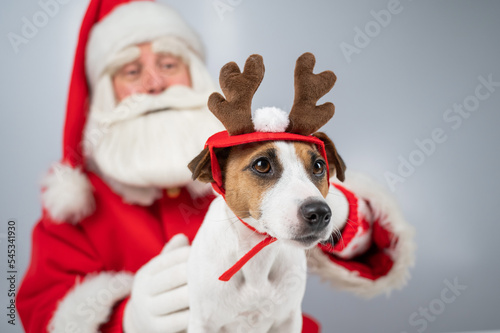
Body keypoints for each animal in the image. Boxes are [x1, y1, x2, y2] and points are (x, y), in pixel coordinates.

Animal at [188, 52, 348, 332]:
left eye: (319, 166)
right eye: (262, 165)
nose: (319, 212)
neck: (257, 258)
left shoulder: (289, 320)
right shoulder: (202, 322)